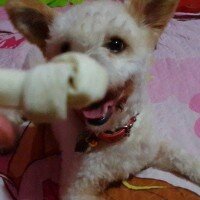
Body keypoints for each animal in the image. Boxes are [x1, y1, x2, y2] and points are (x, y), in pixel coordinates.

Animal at [6, 0, 200, 199]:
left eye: (116, 44)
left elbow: (182, 156)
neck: (114, 134)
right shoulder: (77, 188)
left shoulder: (154, 149)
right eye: (65, 49)